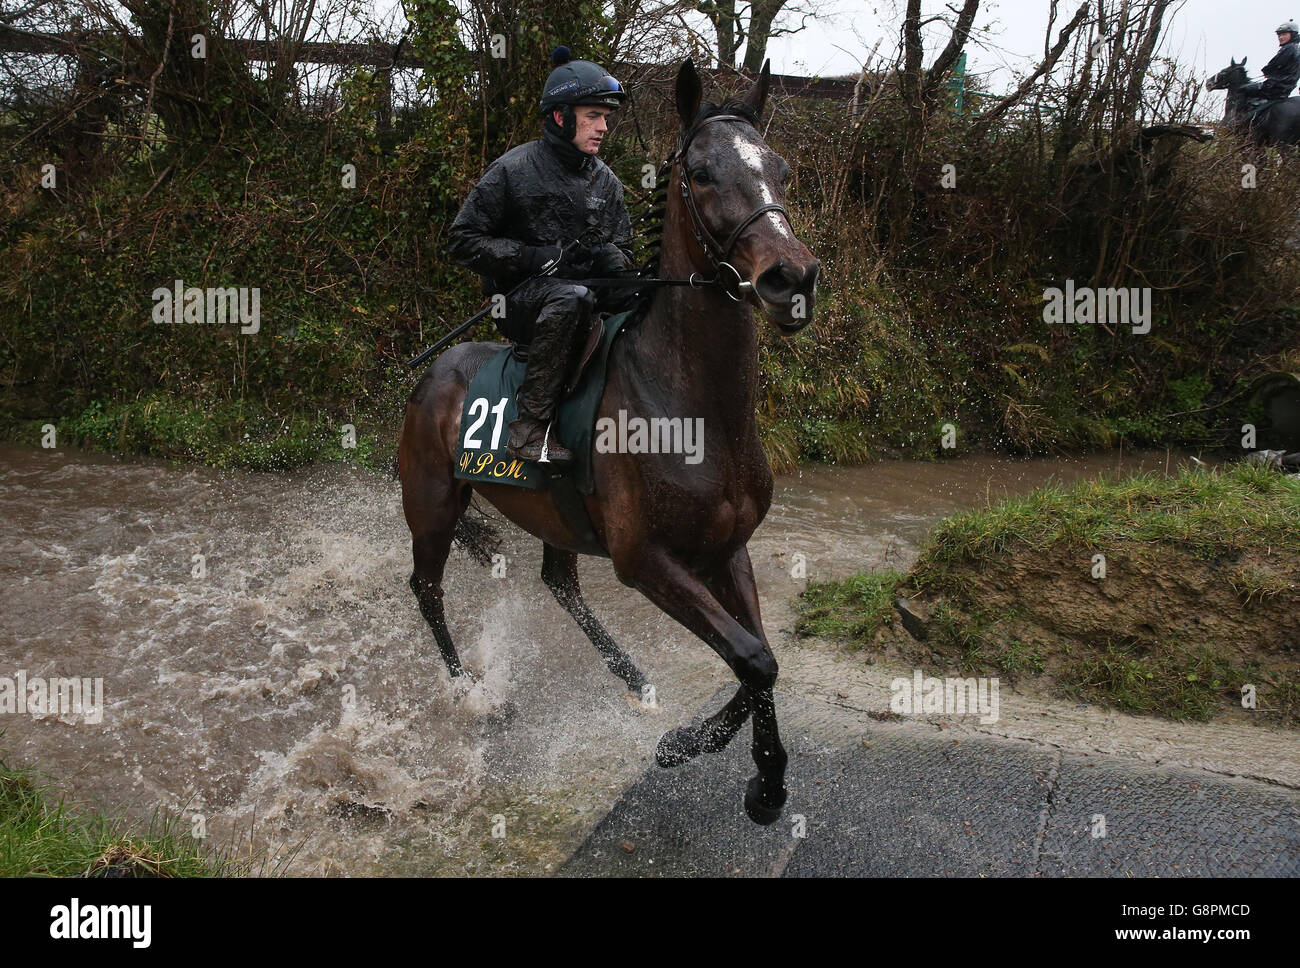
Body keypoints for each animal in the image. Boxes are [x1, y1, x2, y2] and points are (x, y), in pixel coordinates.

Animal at [397, 58, 821, 821]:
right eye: (703, 172)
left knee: (558, 584)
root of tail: (432, 374)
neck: (693, 407)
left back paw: (635, 678)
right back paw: (469, 688)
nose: (791, 278)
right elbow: (754, 658)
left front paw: (757, 777)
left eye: (779, 167)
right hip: (434, 505)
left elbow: (760, 659)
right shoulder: (646, 559)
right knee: (427, 587)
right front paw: (702, 753)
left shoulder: (726, 550)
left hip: (553, 516)